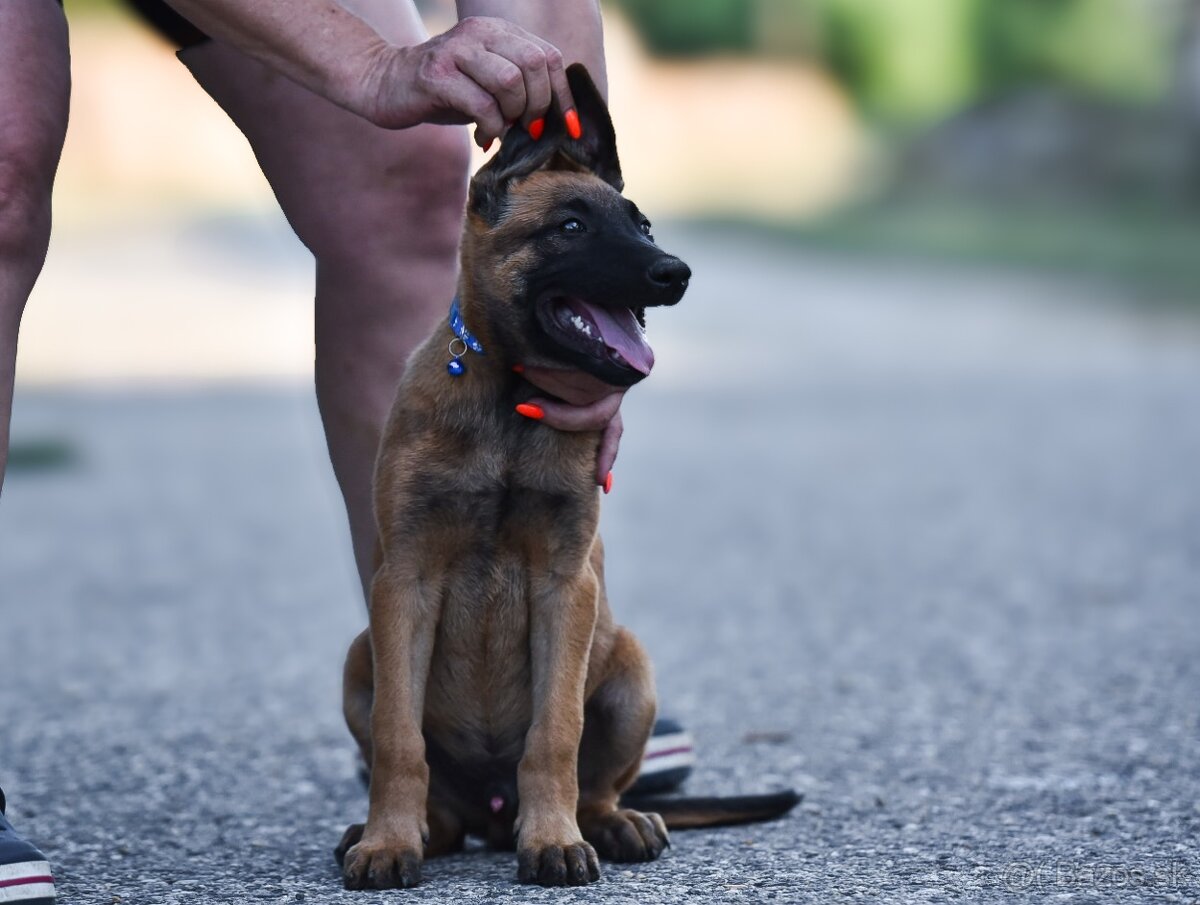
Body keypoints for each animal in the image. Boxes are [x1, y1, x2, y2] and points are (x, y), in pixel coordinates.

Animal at [336, 68, 796, 888]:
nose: (675, 272)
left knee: (596, 785)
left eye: (643, 225)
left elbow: (554, 733)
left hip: (632, 672)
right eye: (571, 228)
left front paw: (552, 840)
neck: (509, 401)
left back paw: (612, 824)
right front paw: (388, 841)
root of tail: (491, 812)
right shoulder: (405, 582)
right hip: (360, 656)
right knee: (438, 798)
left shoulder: (565, 584)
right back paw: (415, 827)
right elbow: (398, 738)